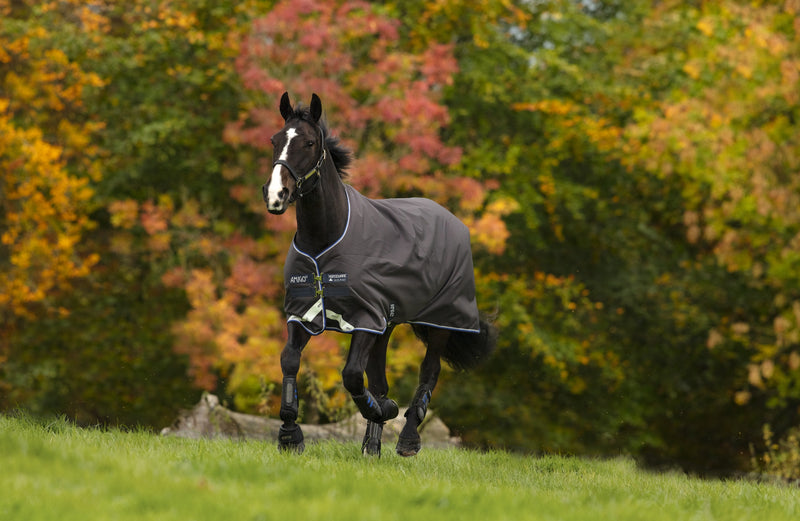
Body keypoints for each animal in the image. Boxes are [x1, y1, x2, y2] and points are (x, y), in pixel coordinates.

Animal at [263, 92, 495, 457]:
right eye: (275, 140)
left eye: (310, 143)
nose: (276, 195)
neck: (325, 239)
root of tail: (452, 219)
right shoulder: (303, 314)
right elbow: (290, 361)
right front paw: (290, 435)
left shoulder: (365, 318)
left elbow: (351, 375)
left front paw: (385, 411)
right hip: (387, 325)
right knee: (380, 378)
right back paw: (372, 444)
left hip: (440, 321)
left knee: (429, 372)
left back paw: (408, 438)